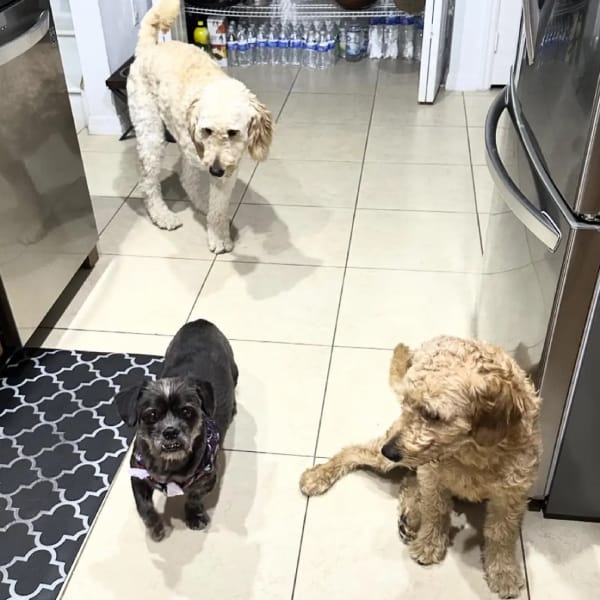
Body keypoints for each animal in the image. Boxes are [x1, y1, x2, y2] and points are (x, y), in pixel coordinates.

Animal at [115, 319, 238, 541]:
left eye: (187, 411)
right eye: (151, 415)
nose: (170, 431)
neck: (168, 466)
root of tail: (200, 322)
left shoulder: (208, 477)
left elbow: (194, 497)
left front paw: (194, 516)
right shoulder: (138, 475)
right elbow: (144, 507)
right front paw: (155, 527)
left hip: (233, 368)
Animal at [127, 0, 273, 254]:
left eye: (233, 132)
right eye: (207, 130)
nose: (215, 170)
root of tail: (147, 48)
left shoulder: (227, 172)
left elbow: (218, 206)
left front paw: (218, 231)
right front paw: (218, 236)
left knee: (185, 178)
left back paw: (202, 203)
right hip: (151, 132)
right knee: (148, 180)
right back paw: (162, 215)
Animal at [300, 336, 541, 599]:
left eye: (432, 414)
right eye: (406, 402)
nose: (389, 450)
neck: (472, 453)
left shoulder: (512, 494)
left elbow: (501, 533)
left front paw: (503, 571)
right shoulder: (434, 476)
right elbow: (435, 509)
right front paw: (429, 544)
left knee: (408, 482)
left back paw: (411, 516)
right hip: (391, 456)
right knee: (355, 451)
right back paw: (318, 476)